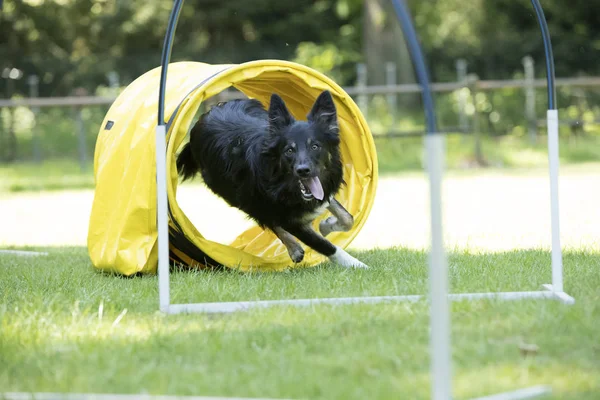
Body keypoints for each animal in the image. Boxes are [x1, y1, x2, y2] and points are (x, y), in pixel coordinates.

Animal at [176, 90, 368, 268]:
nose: (303, 171)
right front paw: (356, 264)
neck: (281, 180)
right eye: (289, 150)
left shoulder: (323, 191)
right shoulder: (288, 218)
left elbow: (348, 218)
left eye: (315, 146)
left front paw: (327, 225)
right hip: (239, 195)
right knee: (267, 219)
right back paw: (293, 247)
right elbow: (324, 244)